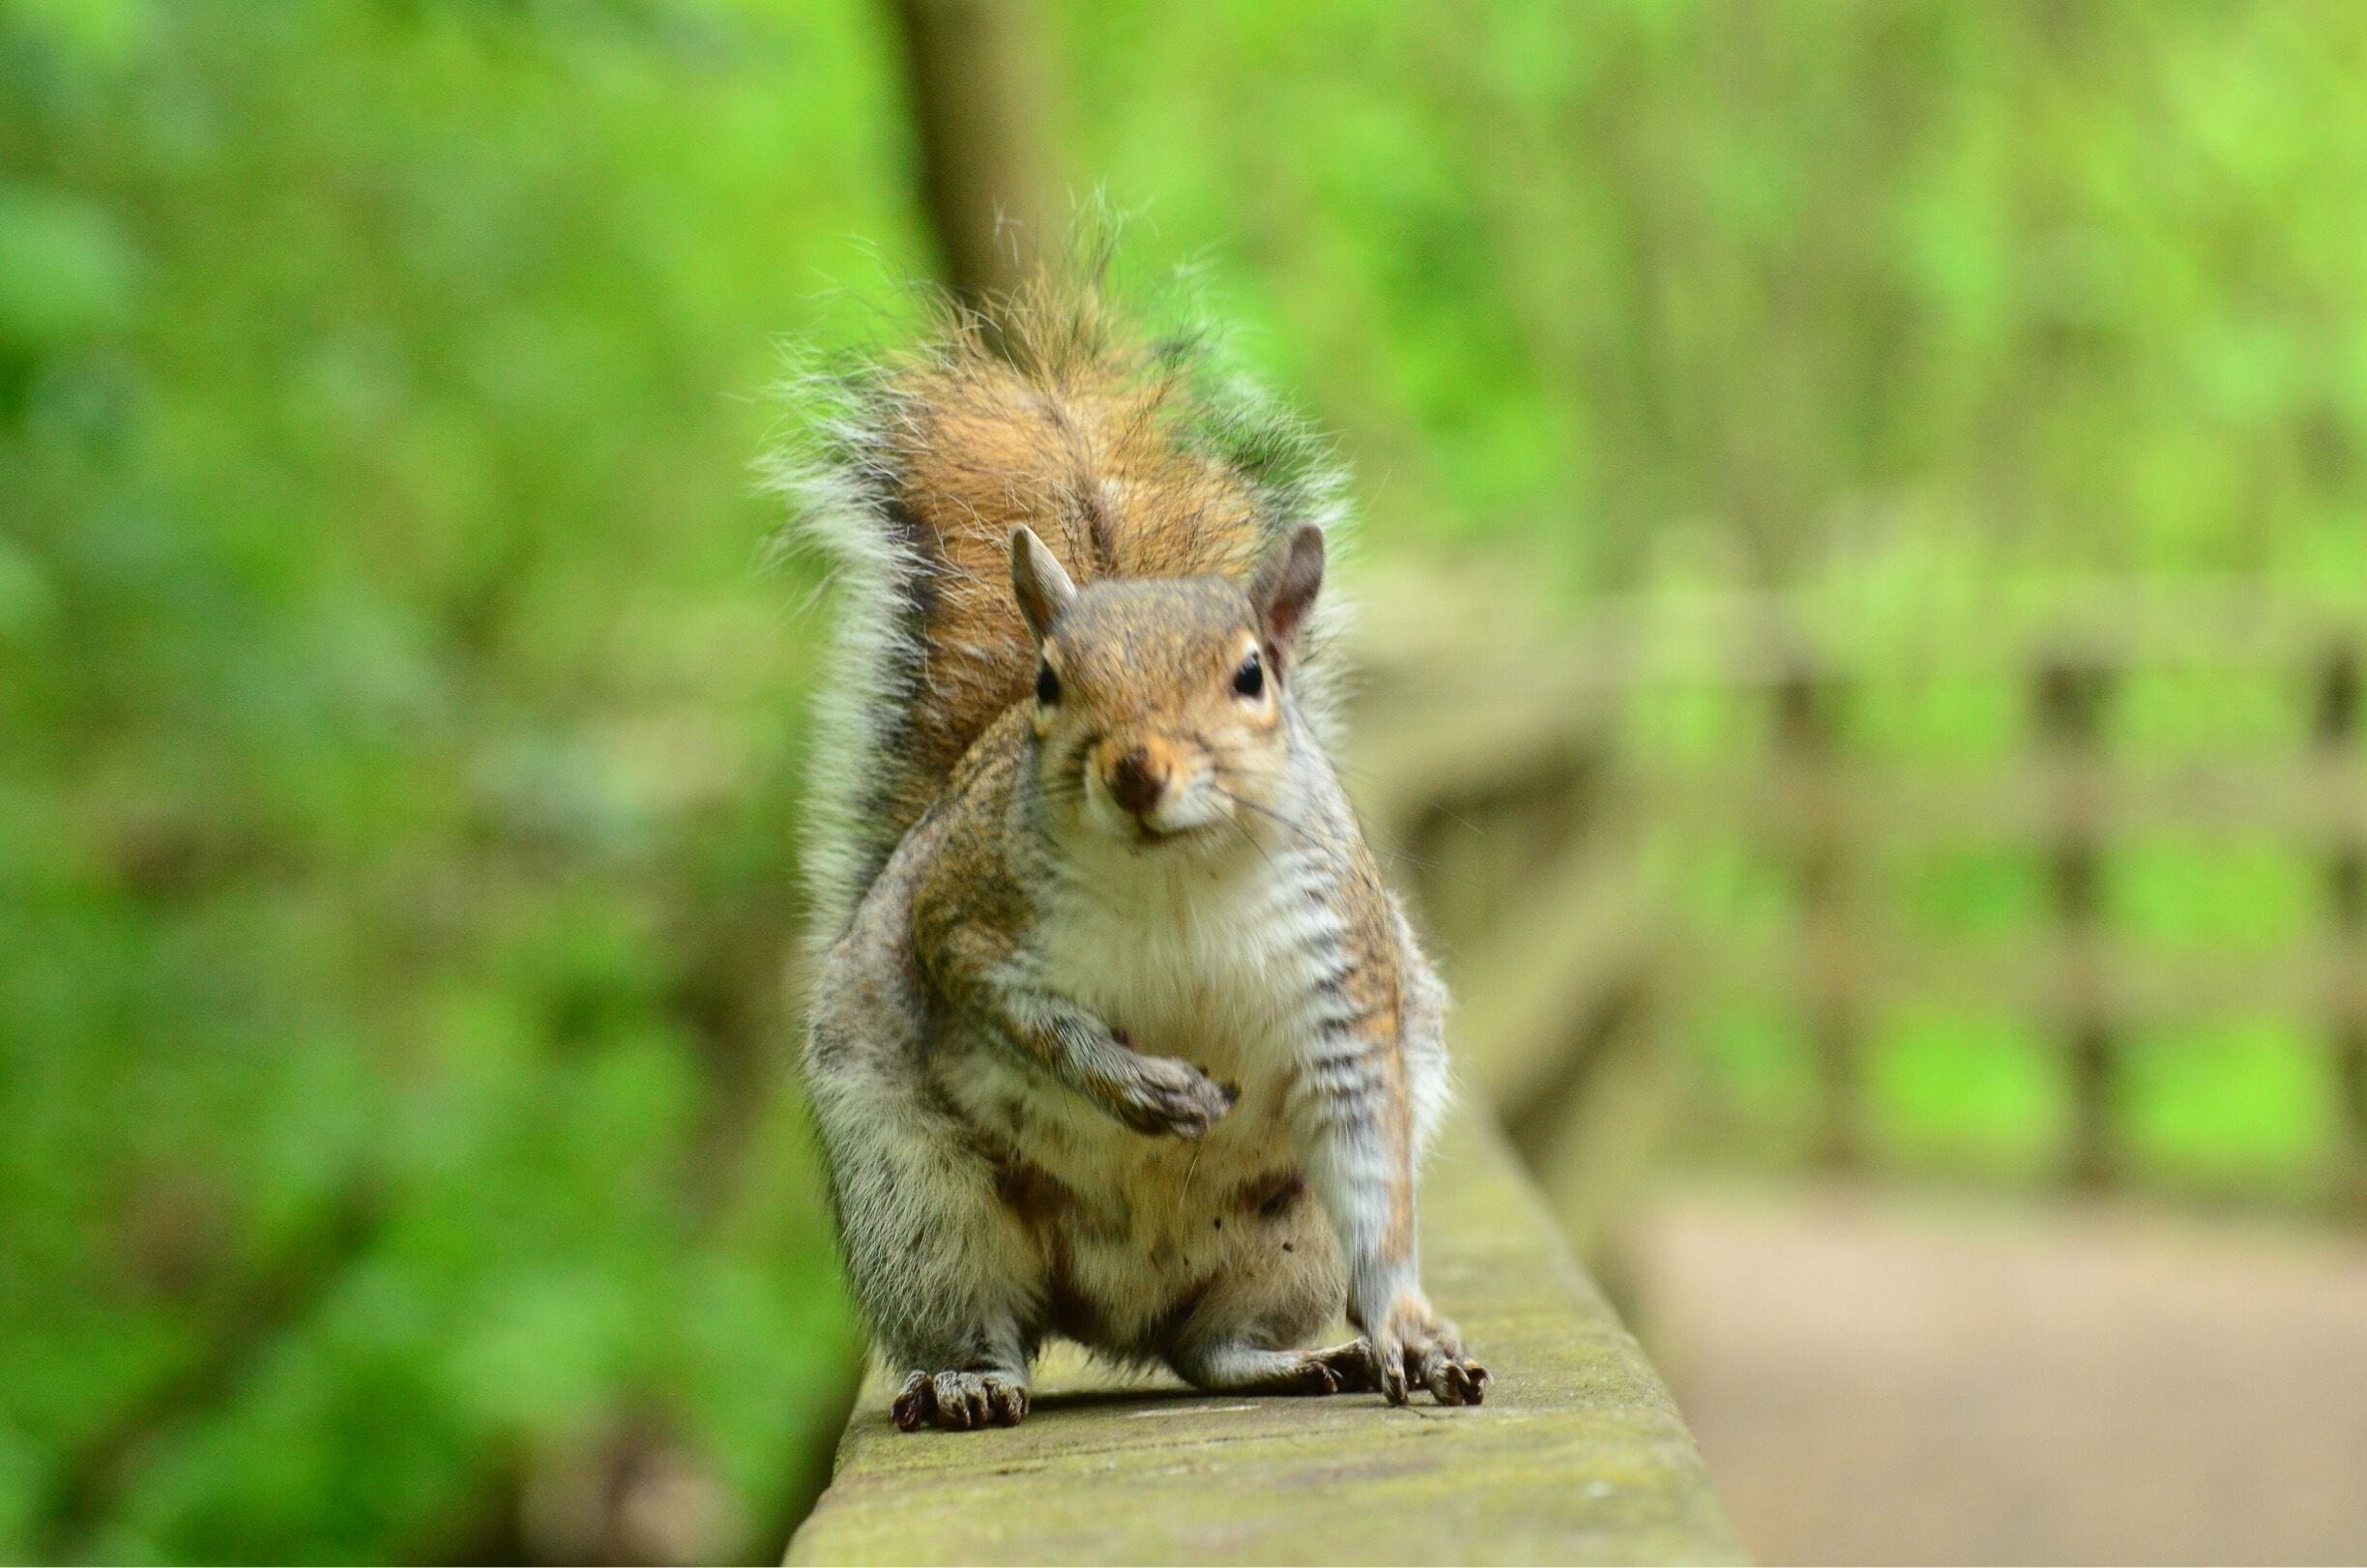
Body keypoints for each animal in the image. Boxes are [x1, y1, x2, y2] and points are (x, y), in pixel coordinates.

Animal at [776, 276, 1486, 1431]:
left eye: (1252, 676)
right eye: (1049, 680)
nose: (1137, 770)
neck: (1173, 883)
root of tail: (1115, 1310)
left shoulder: (1344, 977)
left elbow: (1371, 1168)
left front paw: (1414, 1335)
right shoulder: (965, 919)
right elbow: (1025, 1017)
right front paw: (1146, 1090)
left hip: (1286, 1243)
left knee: (1209, 1348)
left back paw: (1292, 1360)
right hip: (923, 1209)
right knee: (984, 1320)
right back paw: (969, 1378)